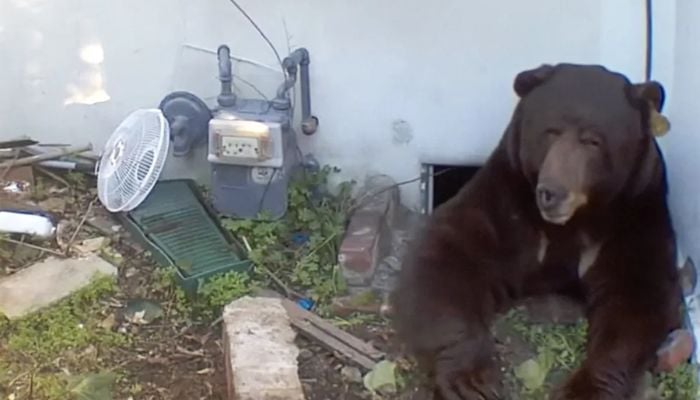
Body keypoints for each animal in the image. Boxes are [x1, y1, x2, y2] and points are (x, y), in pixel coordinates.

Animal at [391, 63, 683, 400]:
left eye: (593, 141)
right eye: (550, 131)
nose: (551, 192)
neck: (574, 221)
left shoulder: (636, 215)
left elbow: (637, 299)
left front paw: (584, 388)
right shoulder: (505, 202)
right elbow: (447, 256)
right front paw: (472, 380)